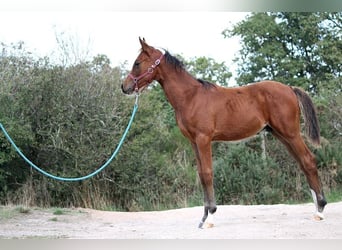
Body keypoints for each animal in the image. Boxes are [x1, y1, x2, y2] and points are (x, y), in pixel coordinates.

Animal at [121, 37, 328, 229]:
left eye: (137, 63)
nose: (125, 87)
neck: (190, 97)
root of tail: (290, 89)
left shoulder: (204, 139)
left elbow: (207, 173)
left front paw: (210, 217)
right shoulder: (193, 142)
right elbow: (201, 174)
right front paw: (203, 217)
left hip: (291, 133)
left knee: (309, 160)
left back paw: (320, 210)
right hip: (282, 135)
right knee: (303, 163)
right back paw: (316, 206)